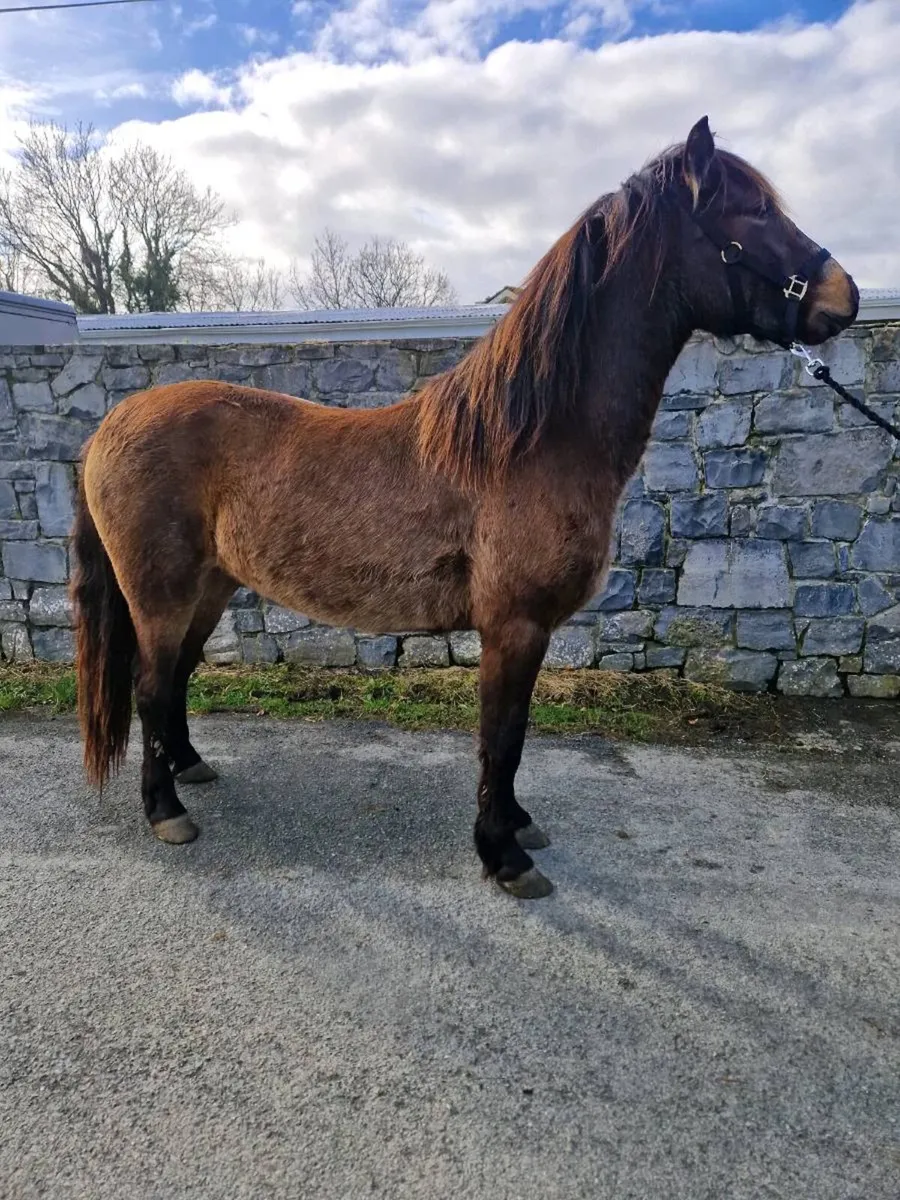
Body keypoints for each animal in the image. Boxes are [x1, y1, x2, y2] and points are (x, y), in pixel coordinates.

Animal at [71, 116, 859, 899]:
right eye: (752, 212)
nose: (843, 296)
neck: (530, 442)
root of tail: (112, 424)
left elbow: (513, 739)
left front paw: (517, 827)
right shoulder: (513, 627)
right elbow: (501, 740)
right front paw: (503, 856)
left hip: (210, 587)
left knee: (175, 679)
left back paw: (190, 768)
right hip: (161, 595)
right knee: (149, 686)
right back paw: (166, 810)